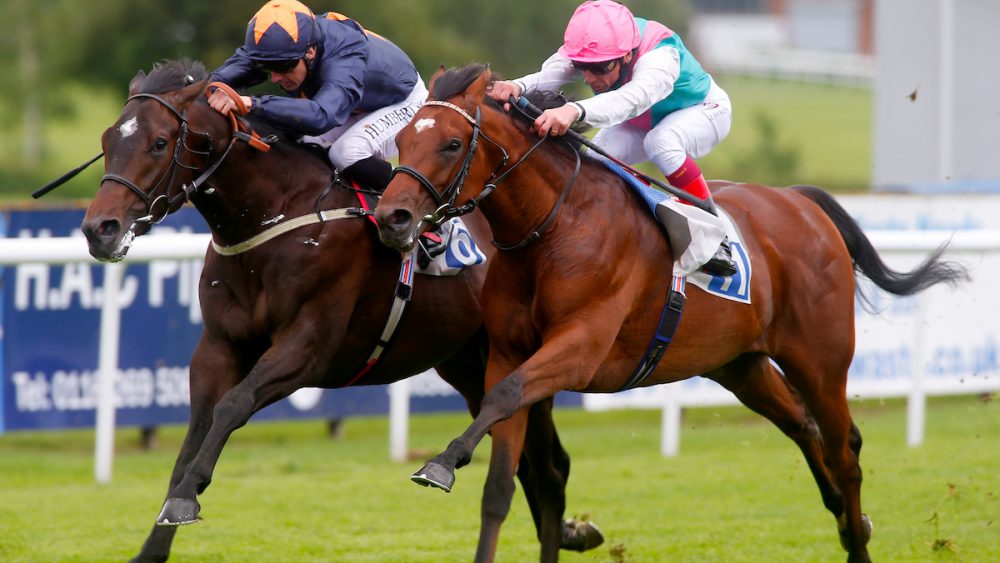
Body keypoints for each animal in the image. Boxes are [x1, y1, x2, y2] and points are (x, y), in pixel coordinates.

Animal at [80, 59, 600, 560]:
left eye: (159, 142)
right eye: (107, 140)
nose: (99, 229)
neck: (277, 215)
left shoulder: (308, 346)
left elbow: (233, 405)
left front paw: (187, 496)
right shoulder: (218, 347)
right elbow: (195, 436)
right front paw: (155, 541)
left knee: (550, 469)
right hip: (470, 365)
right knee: (531, 464)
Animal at [376, 64, 968, 560]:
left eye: (452, 143)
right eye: (402, 139)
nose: (392, 216)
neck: (553, 229)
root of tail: (801, 203)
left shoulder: (579, 349)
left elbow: (504, 398)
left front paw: (441, 461)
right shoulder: (507, 351)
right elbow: (501, 481)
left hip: (820, 360)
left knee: (845, 452)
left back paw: (856, 533)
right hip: (740, 365)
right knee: (803, 426)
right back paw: (850, 522)